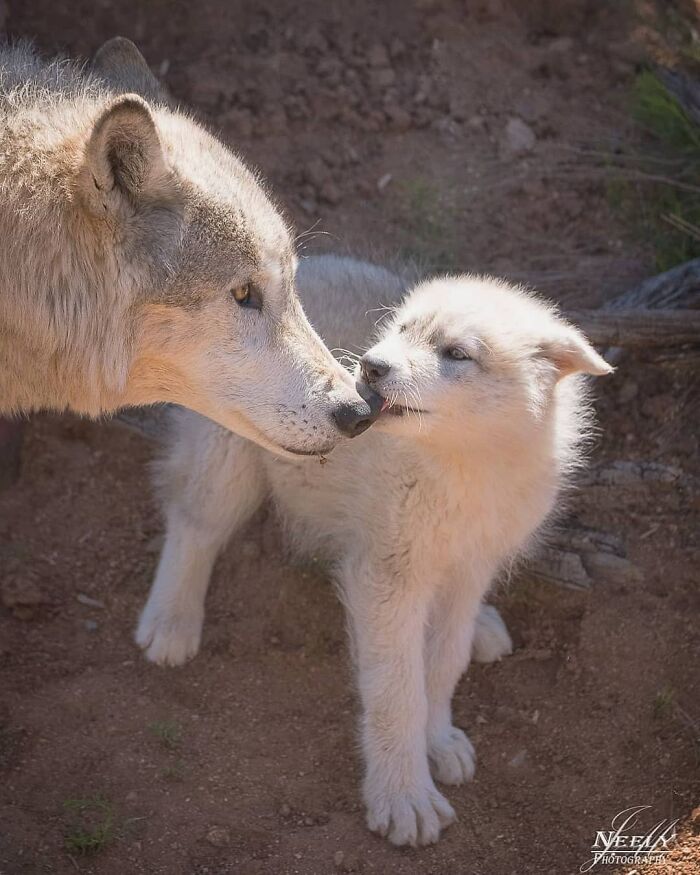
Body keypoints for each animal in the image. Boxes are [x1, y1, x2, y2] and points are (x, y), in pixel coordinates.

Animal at [139, 255, 612, 845]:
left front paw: (439, 740)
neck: (463, 466)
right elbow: (396, 689)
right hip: (228, 456)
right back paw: (171, 621)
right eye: (401, 330)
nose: (370, 366)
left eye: (458, 354)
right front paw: (404, 796)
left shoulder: (468, 568)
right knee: (193, 522)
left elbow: (443, 663)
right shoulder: (389, 576)